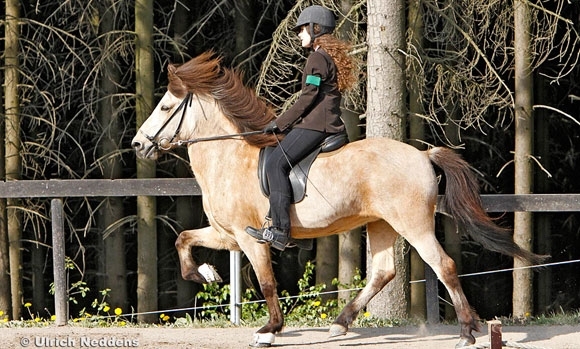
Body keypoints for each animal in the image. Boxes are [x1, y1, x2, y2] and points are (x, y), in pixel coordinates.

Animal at [130, 52, 544, 348]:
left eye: (165, 107)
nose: (137, 145)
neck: (229, 158)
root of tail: (423, 154)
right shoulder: (228, 235)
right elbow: (183, 240)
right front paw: (205, 274)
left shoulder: (252, 239)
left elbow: (266, 283)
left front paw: (270, 329)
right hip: (381, 223)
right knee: (383, 272)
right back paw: (340, 324)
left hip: (412, 223)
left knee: (442, 265)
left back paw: (467, 333)